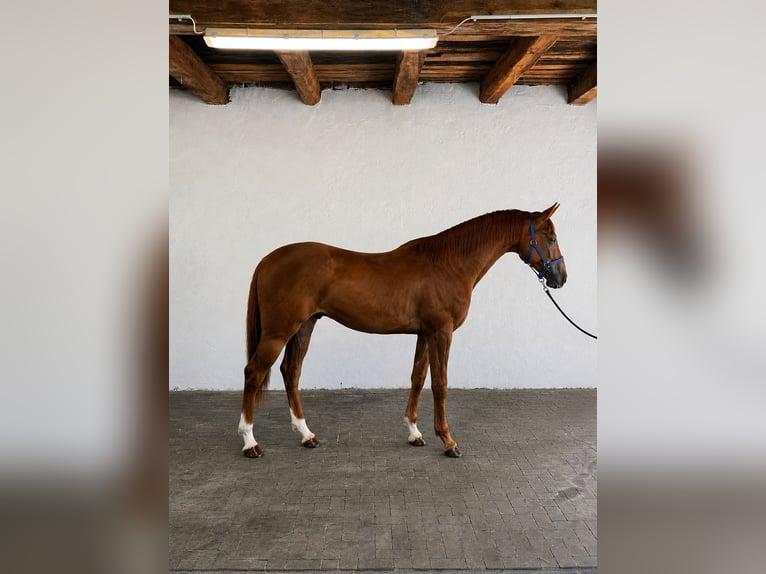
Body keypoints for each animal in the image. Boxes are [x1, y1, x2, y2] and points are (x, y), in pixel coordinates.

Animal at [239, 203, 567, 458]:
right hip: (279, 332)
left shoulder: (424, 333)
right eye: (551, 238)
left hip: (304, 326)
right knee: (253, 373)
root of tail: (268, 259)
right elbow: (440, 384)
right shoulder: (442, 332)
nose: (560, 277)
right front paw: (448, 441)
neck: (449, 264)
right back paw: (250, 442)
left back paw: (307, 435)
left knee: (291, 372)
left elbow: (417, 378)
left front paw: (414, 432)